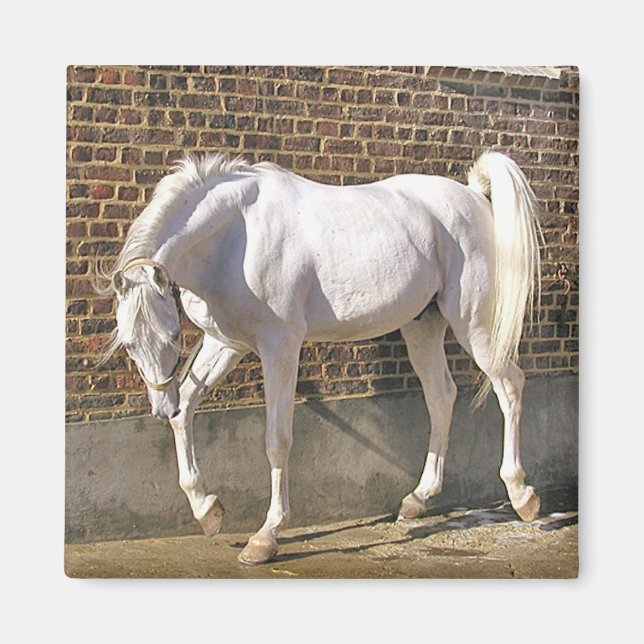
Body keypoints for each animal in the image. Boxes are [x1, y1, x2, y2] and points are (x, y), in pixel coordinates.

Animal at [97, 150, 542, 565]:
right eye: (129, 343)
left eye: (173, 334)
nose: (159, 405)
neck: (235, 237)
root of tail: (473, 195)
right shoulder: (225, 342)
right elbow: (186, 409)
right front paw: (207, 510)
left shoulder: (280, 346)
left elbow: (277, 438)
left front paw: (266, 537)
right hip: (423, 326)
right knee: (441, 397)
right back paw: (418, 499)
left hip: (475, 325)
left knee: (509, 387)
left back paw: (522, 496)